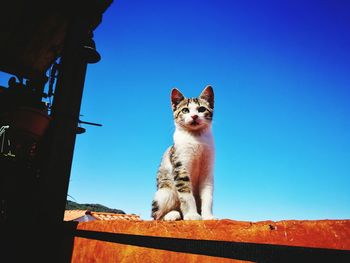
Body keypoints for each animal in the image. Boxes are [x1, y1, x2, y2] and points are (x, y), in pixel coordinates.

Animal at [152, 86, 215, 221]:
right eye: (185, 110)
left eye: (201, 109)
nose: (194, 116)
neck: (197, 138)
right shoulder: (180, 167)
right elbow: (187, 194)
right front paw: (192, 215)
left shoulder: (207, 171)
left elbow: (208, 195)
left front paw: (208, 216)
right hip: (165, 192)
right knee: (156, 216)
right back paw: (172, 214)